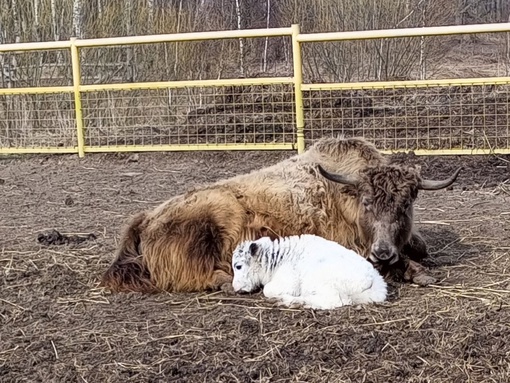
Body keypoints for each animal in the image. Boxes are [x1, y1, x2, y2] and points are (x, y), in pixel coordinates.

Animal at [231, 234, 386, 312]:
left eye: (238, 266)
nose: (235, 287)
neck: (278, 259)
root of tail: (374, 278)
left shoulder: (289, 282)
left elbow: (267, 290)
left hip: (319, 281)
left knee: (335, 301)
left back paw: (293, 301)